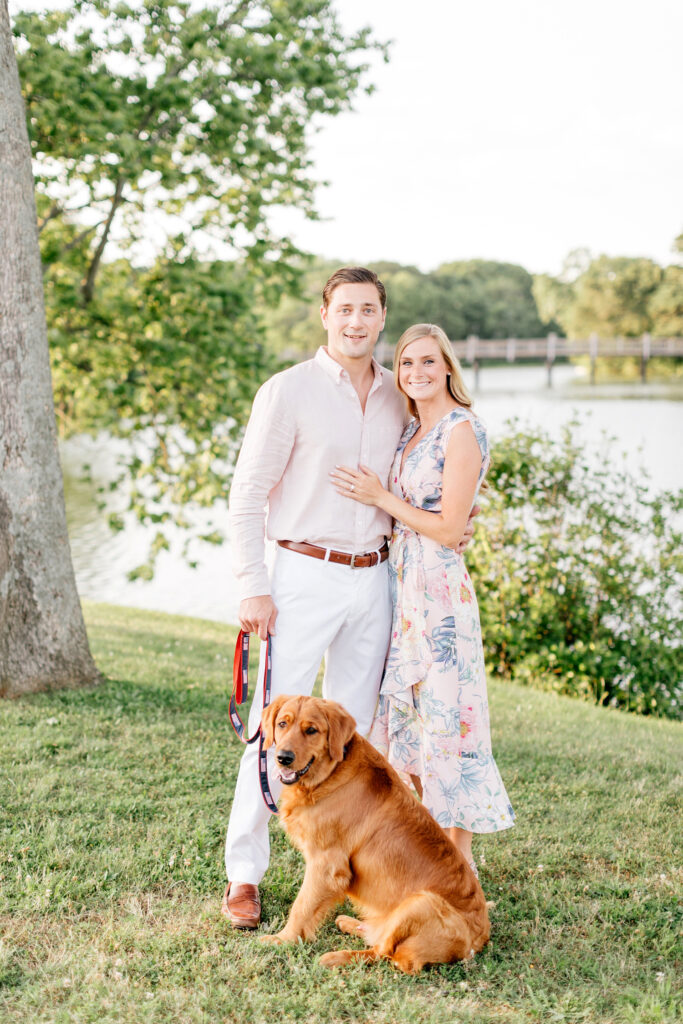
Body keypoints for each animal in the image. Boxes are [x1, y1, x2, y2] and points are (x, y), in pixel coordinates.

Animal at [260, 692, 491, 970]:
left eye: (311, 730)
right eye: (282, 724)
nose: (283, 758)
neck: (331, 773)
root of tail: (481, 939)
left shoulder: (326, 865)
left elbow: (301, 907)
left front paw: (282, 939)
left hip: (421, 903)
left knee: (386, 953)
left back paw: (336, 956)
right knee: (379, 939)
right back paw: (353, 924)